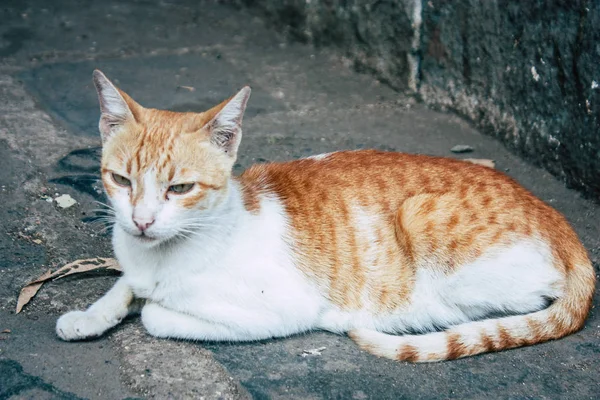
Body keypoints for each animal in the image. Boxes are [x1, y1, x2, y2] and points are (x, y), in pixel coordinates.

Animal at [56, 69, 596, 362]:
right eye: (122, 181)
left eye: (180, 188)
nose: (143, 221)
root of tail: (559, 220)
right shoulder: (134, 262)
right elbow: (125, 286)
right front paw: (90, 316)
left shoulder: (275, 310)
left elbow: (153, 312)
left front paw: (147, 303)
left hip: (426, 225)